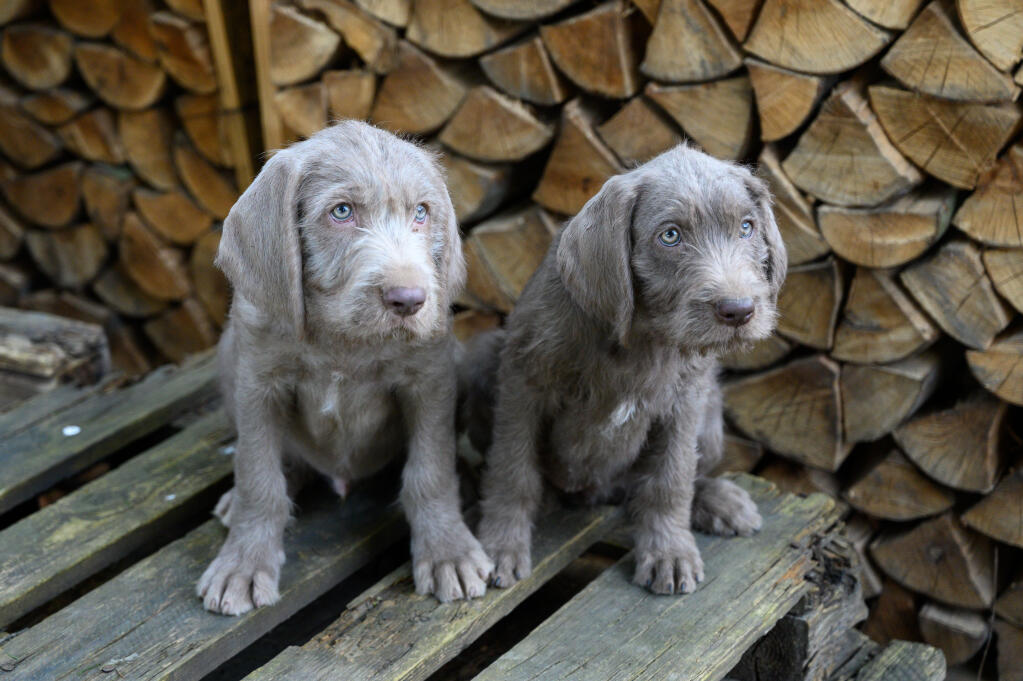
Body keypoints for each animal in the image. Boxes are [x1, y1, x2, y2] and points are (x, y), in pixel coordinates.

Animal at [197, 122, 493, 613]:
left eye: (421, 212)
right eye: (342, 212)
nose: (410, 300)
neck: (343, 341)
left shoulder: (430, 381)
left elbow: (429, 470)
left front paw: (448, 551)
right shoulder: (258, 384)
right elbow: (259, 477)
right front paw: (243, 564)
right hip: (226, 356)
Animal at [468, 144, 781, 593]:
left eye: (746, 227)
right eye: (670, 235)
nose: (739, 310)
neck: (640, 338)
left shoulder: (685, 401)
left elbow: (671, 477)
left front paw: (669, 551)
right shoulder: (523, 383)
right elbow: (513, 469)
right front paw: (499, 544)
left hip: (711, 413)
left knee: (674, 477)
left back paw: (719, 500)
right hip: (479, 357)